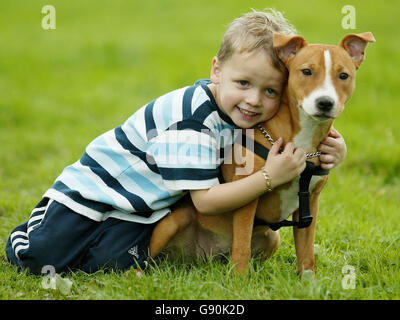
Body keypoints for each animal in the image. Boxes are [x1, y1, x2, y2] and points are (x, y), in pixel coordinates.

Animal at [148, 33, 376, 276]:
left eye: (343, 75)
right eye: (306, 71)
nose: (325, 102)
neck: (303, 140)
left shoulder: (310, 204)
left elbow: (306, 253)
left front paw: (309, 282)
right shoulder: (246, 198)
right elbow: (242, 247)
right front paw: (239, 279)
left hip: (272, 238)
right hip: (171, 223)